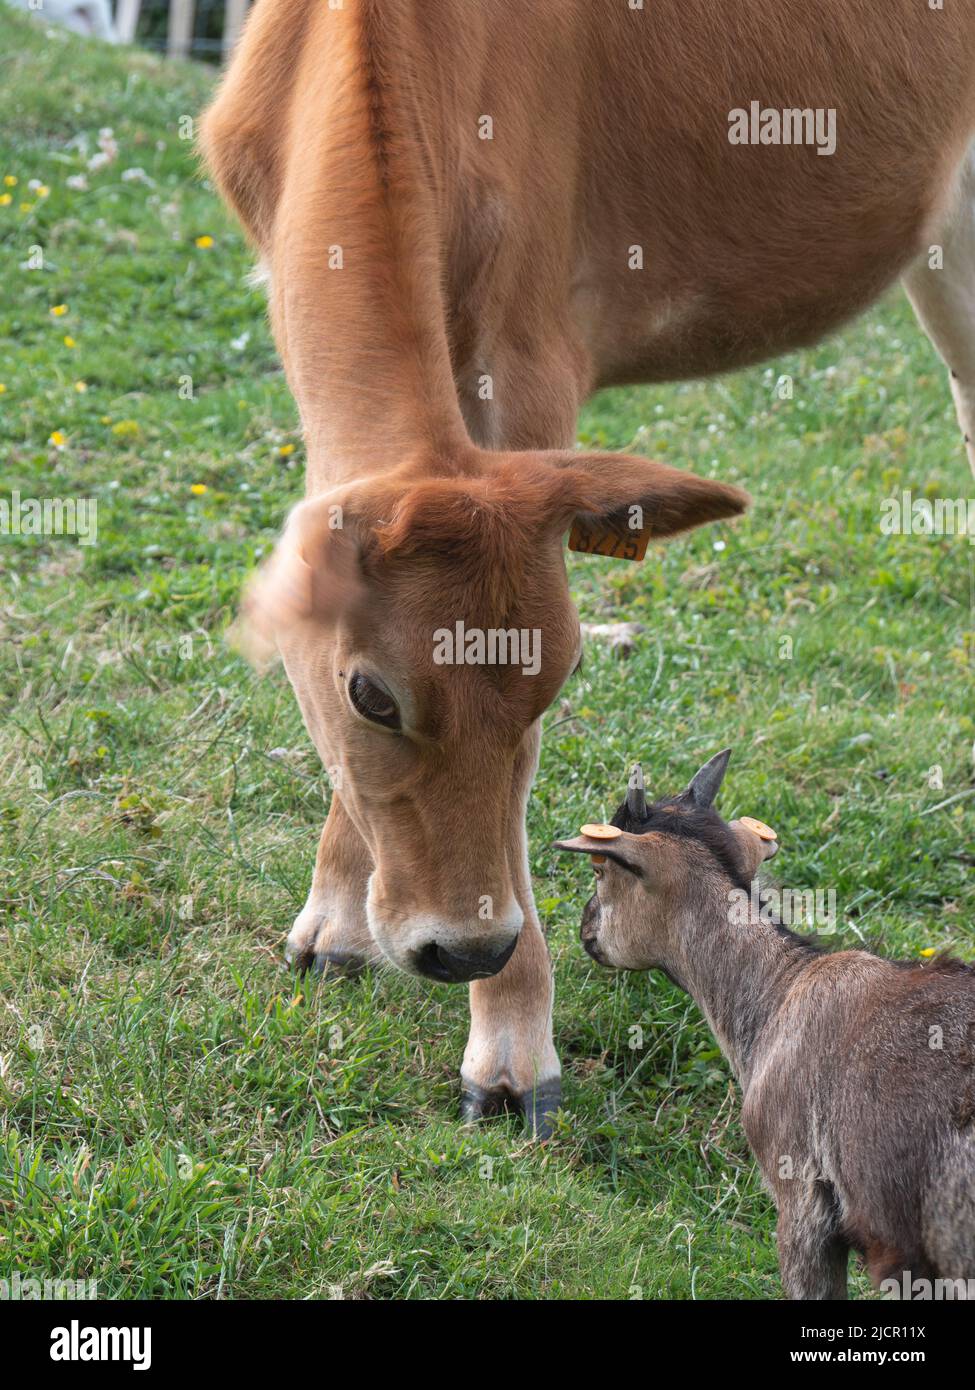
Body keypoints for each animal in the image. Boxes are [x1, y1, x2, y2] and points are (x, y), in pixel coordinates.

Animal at [201, 0, 973, 1128]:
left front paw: (511, 1052)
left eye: (561, 676)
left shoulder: (532, 353)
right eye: (371, 695)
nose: (465, 947)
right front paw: (336, 924)